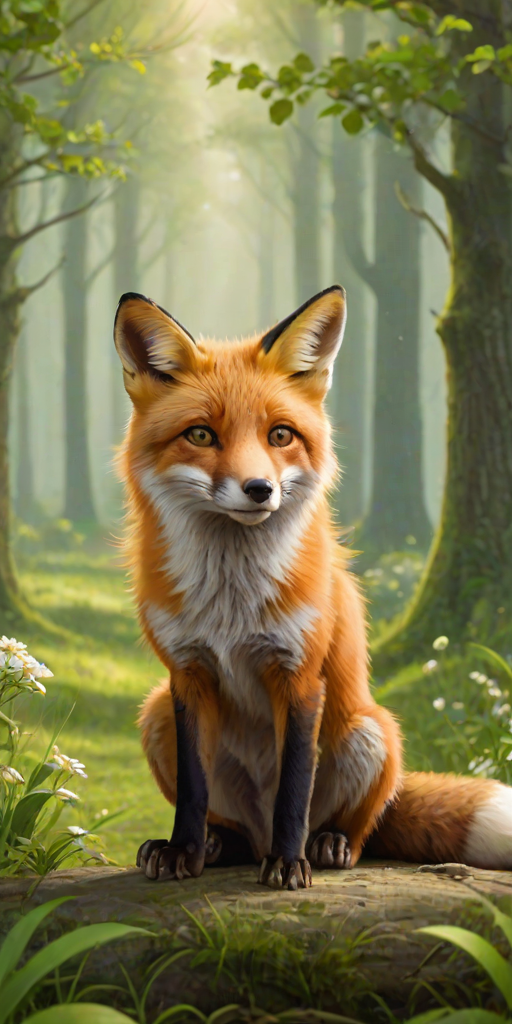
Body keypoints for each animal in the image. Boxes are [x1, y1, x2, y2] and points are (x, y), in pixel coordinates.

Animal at [114, 285, 512, 890]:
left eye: (280, 435)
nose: (259, 489)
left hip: (370, 732)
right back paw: (219, 844)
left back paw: (326, 844)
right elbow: (193, 789)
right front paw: (183, 850)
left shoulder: (299, 675)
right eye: (201, 434)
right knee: (232, 826)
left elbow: (294, 788)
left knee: (357, 826)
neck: (232, 603)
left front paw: (288, 862)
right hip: (155, 712)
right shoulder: (187, 674)